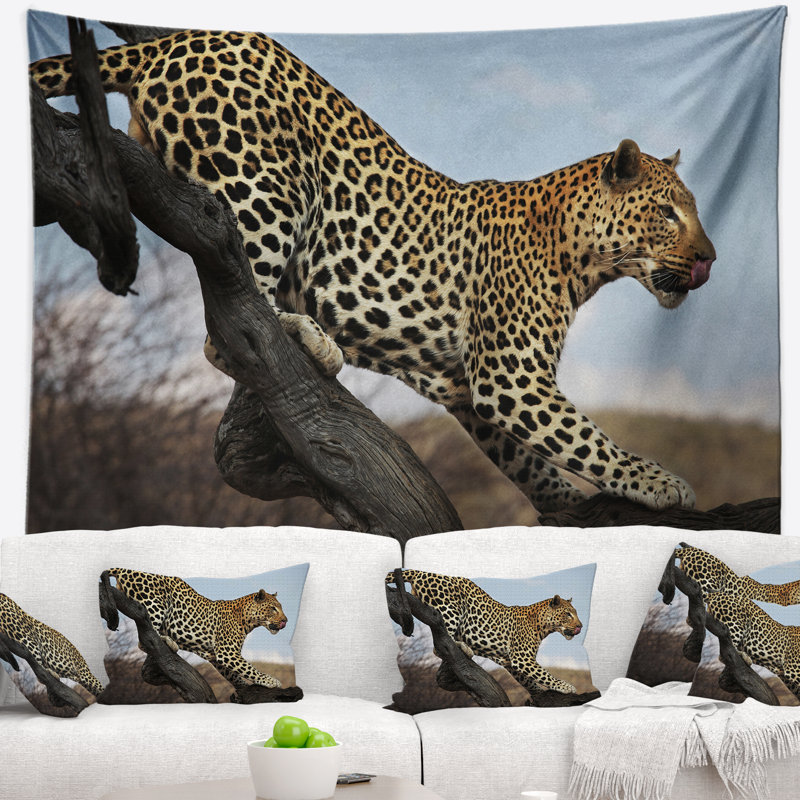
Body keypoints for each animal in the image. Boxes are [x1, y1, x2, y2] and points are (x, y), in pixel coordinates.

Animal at [30, 28, 717, 513]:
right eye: (667, 212)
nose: (709, 259)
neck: (584, 259)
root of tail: (177, 39)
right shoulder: (511, 376)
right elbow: (586, 438)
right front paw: (661, 483)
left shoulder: (469, 388)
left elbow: (535, 460)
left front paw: (566, 505)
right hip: (266, 186)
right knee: (226, 321)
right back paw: (310, 339)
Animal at [101, 568, 288, 695]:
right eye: (273, 608)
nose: (285, 621)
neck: (247, 620)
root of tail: (127, 570)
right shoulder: (227, 653)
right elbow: (250, 668)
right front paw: (272, 681)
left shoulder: (217, 656)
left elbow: (234, 674)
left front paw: (243, 687)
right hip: (156, 602)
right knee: (145, 637)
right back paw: (169, 641)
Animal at [386, 568, 583, 694]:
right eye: (568, 614)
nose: (580, 626)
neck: (543, 625)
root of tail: (424, 573)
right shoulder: (522, 658)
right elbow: (545, 674)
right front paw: (567, 687)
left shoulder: (510, 661)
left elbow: (529, 679)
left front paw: (537, 692)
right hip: (450, 609)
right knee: (439, 644)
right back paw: (464, 648)